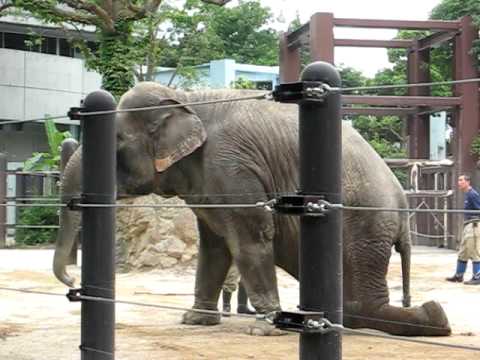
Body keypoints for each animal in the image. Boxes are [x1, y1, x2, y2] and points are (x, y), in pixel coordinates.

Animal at [52, 82, 450, 338]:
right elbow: (213, 246)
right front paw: (194, 321)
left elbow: (250, 239)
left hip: (364, 225)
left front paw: (263, 329)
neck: (188, 99)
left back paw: (433, 315)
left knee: (360, 302)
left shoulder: (232, 167)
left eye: (116, 141)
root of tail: (403, 201)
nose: (72, 283)